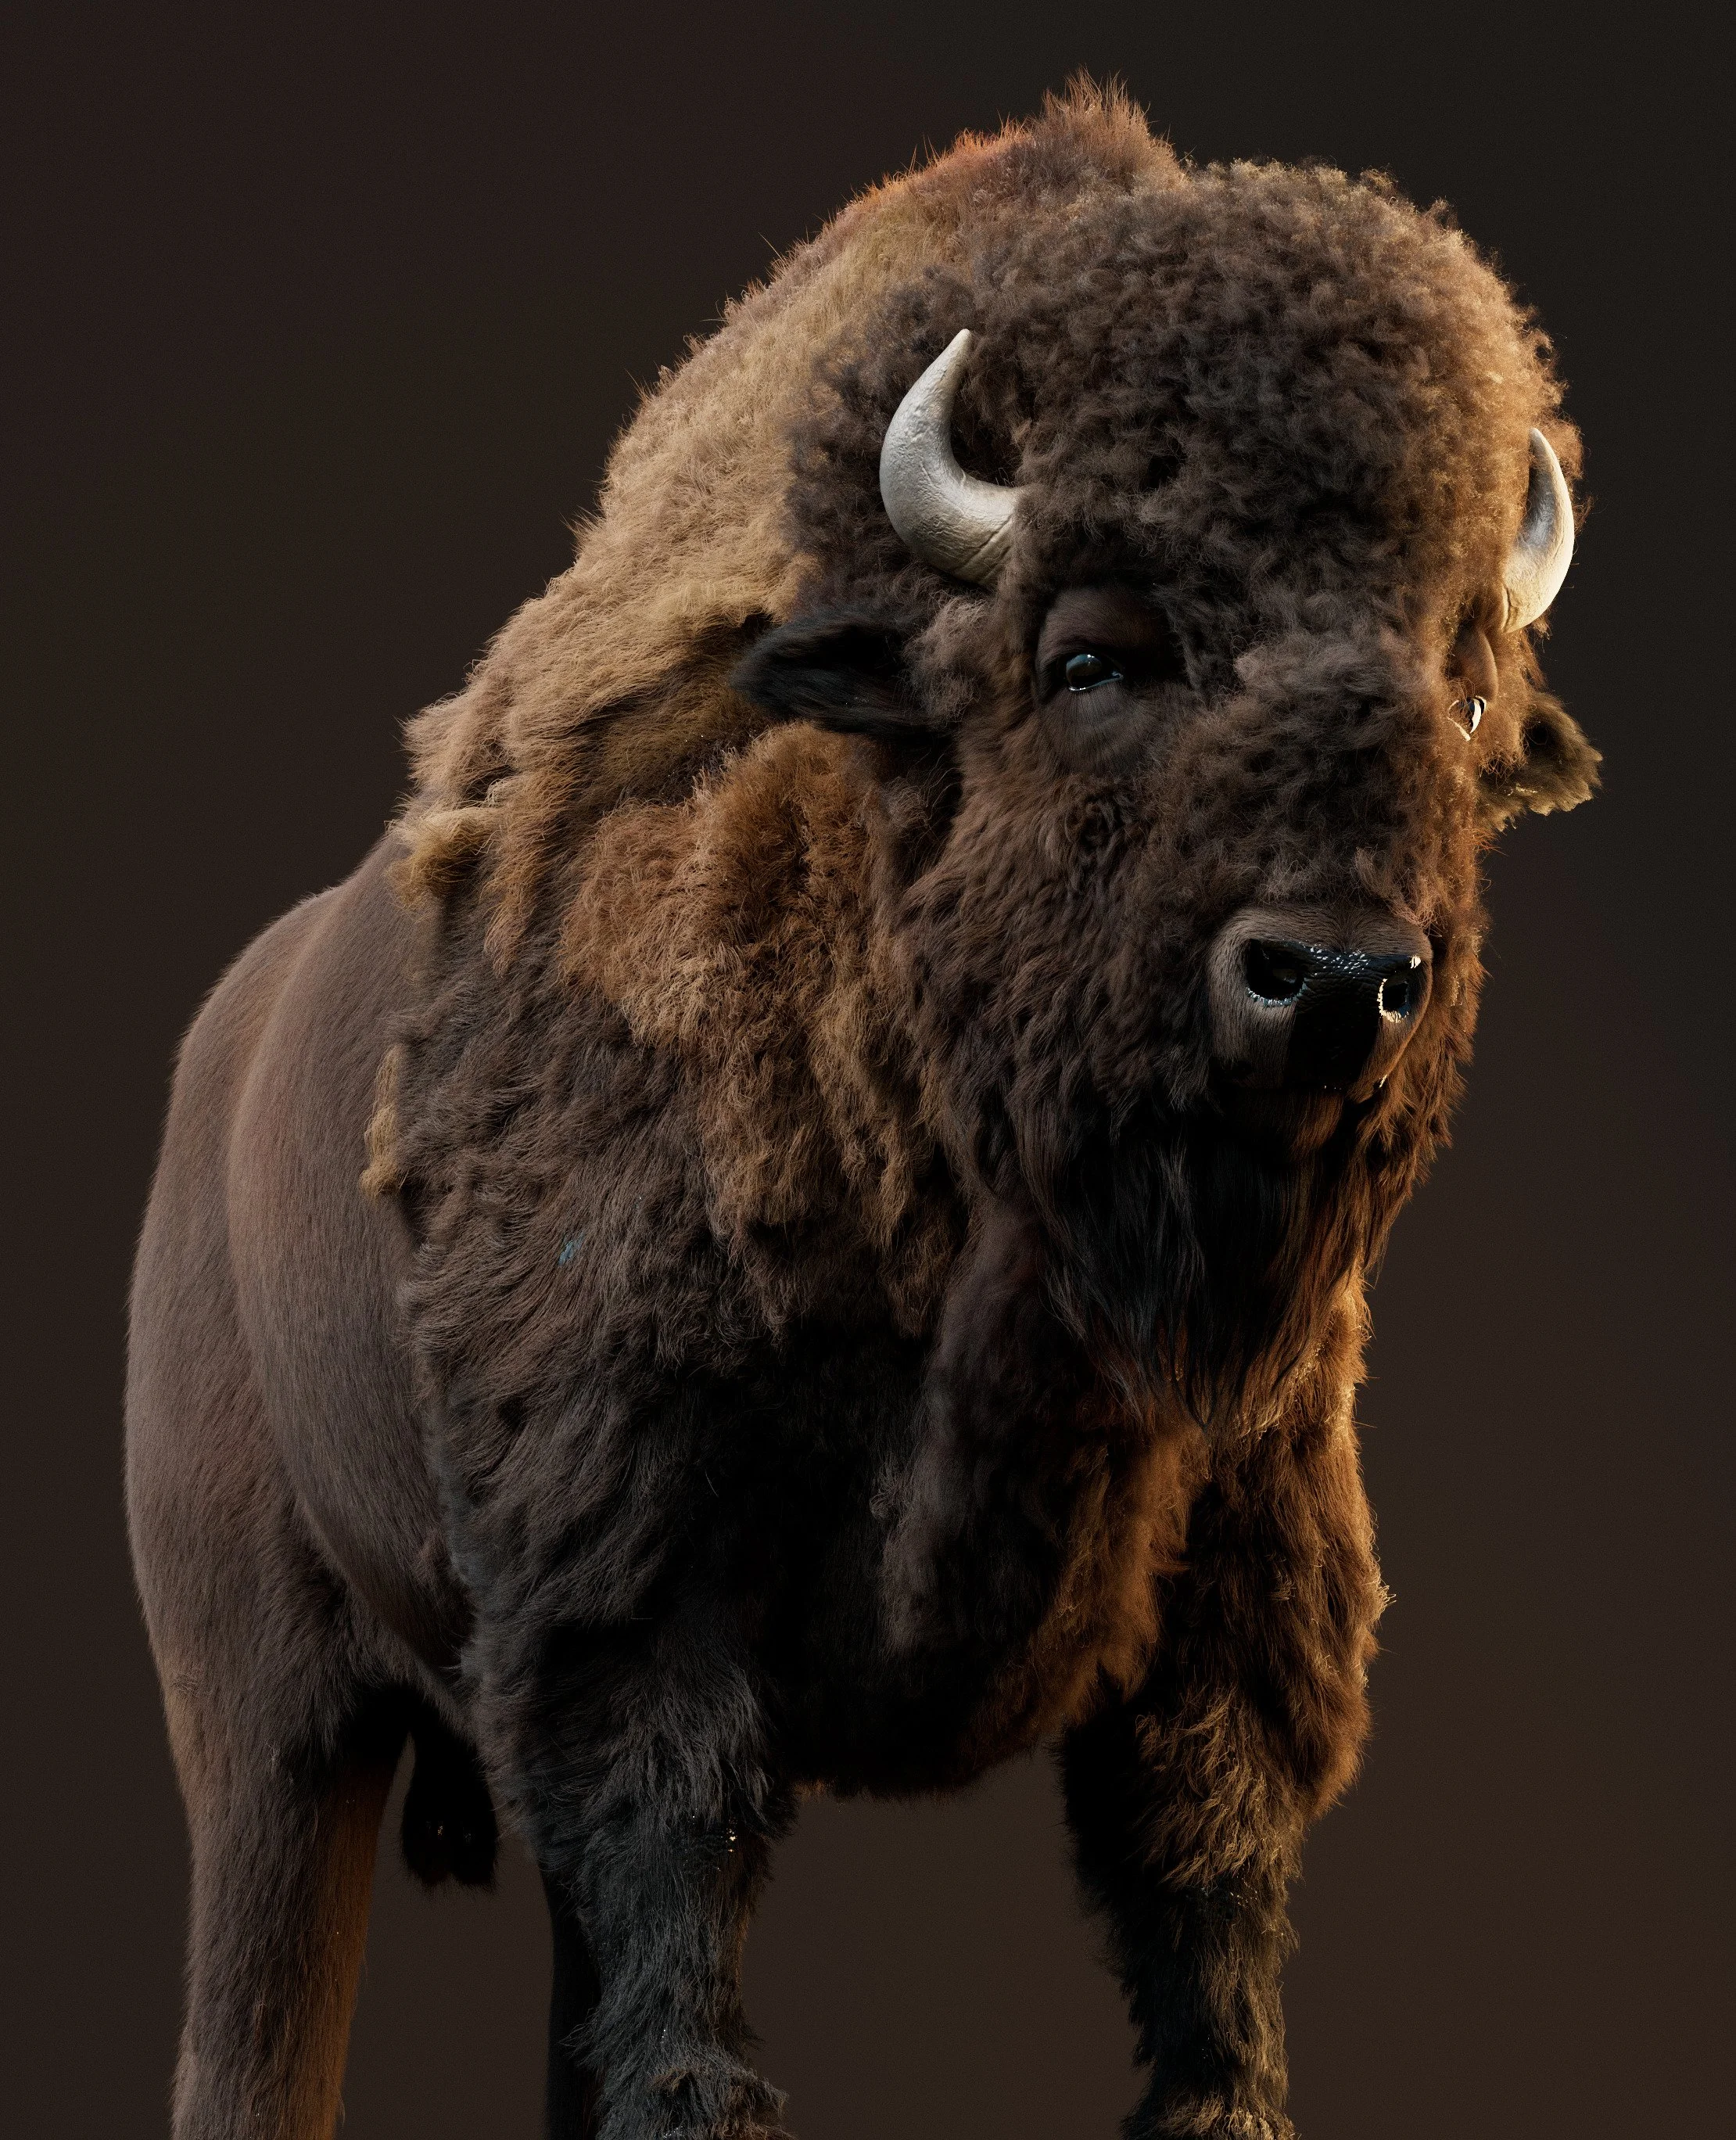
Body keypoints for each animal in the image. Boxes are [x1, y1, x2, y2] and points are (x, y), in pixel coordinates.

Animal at [127, 84, 1597, 2140]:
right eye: (1091, 655)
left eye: (1464, 698)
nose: (1333, 978)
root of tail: (224, 1050)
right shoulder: (628, 1586)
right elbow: (686, 1963)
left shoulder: (1234, 1594)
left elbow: (1209, 1939)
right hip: (267, 1709)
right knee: (260, 2017)